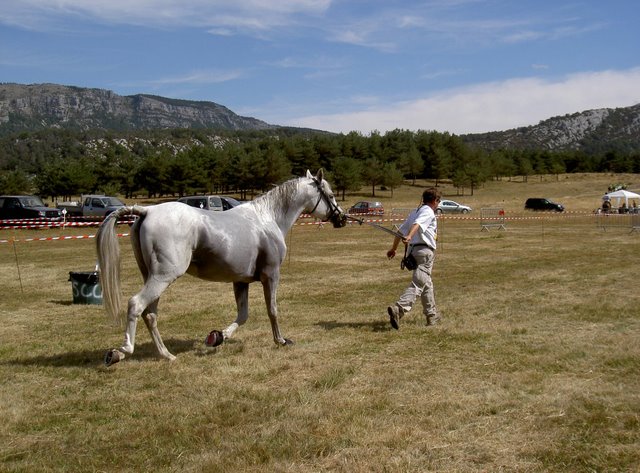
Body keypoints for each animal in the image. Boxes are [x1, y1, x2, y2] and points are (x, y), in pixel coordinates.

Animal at [96, 170, 344, 366]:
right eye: (330, 195)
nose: (341, 218)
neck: (268, 219)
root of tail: (147, 211)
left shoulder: (241, 281)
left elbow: (243, 315)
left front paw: (217, 337)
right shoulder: (271, 275)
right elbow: (272, 310)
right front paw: (281, 340)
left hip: (152, 277)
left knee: (150, 314)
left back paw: (167, 355)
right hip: (163, 277)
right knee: (136, 305)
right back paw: (121, 351)